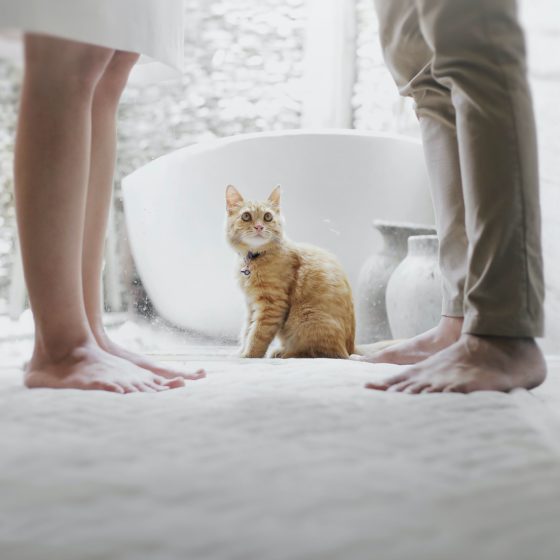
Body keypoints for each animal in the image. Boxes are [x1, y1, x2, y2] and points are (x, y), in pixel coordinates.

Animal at [224, 184, 352, 358]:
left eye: (267, 217)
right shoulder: (251, 304)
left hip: (307, 319)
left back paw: (284, 353)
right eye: (246, 216)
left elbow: (257, 334)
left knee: (315, 352)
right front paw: (241, 351)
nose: (259, 227)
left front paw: (248, 355)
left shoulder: (272, 304)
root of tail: (351, 349)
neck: (254, 258)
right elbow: (247, 331)